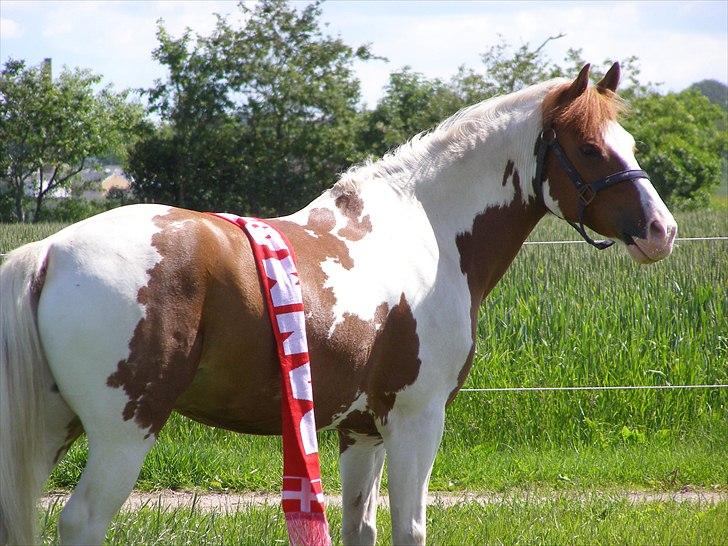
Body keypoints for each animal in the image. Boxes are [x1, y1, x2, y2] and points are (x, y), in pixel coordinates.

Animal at [0, 62, 677, 545]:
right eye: (588, 148)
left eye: (628, 140)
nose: (661, 231)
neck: (426, 231)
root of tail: (51, 248)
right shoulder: (416, 419)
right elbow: (409, 529)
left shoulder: (361, 430)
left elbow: (361, 528)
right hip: (123, 433)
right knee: (82, 521)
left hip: (52, 427)